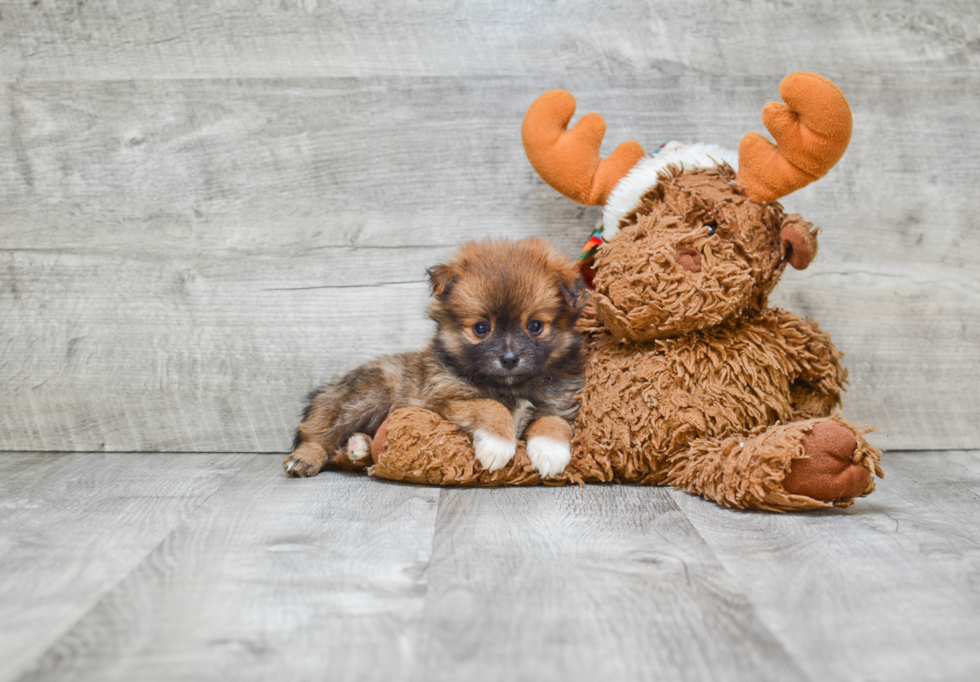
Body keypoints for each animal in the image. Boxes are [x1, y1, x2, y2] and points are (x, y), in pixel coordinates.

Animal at [288, 239, 584, 478]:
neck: (511, 386)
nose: (509, 358)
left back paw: (358, 447)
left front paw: (550, 450)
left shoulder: (559, 401)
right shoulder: (443, 401)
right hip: (368, 393)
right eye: (481, 328)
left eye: (535, 326)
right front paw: (498, 443)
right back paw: (306, 458)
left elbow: (554, 420)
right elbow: (490, 405)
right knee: (318, 433)